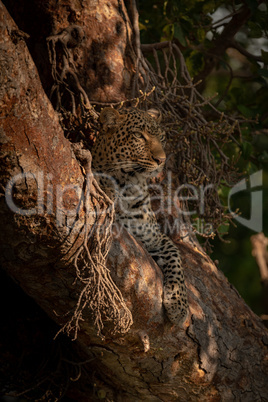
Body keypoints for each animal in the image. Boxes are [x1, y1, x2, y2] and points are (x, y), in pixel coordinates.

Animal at [92, 107, 188, 326]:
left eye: (161, 137)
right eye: (138, 135)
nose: (161, 160)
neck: (129, 185)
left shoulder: (156, 239)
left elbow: (176, 258)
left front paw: (179, 306)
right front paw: (108, 188)